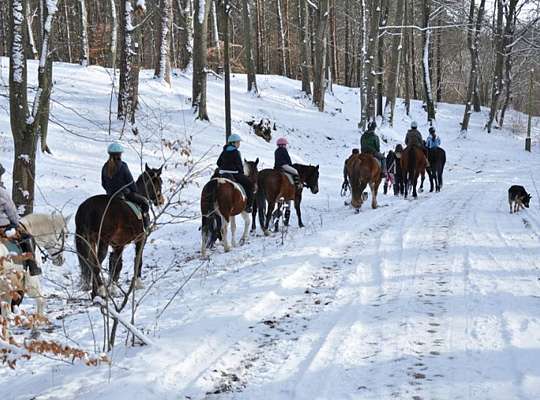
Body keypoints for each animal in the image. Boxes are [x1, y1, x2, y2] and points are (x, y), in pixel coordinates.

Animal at [75, 164, 165, 298]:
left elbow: (115, 265)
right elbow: (137, 260)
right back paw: (99, 291)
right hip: (102, 242)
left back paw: (97, 291)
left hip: (89, 241)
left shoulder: (118, 245)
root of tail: (86, 208)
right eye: (160, 182)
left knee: (92, 264)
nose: (161, 201)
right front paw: (138, 283)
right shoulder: (141, 239)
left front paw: (113, 288)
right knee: (96, 264)